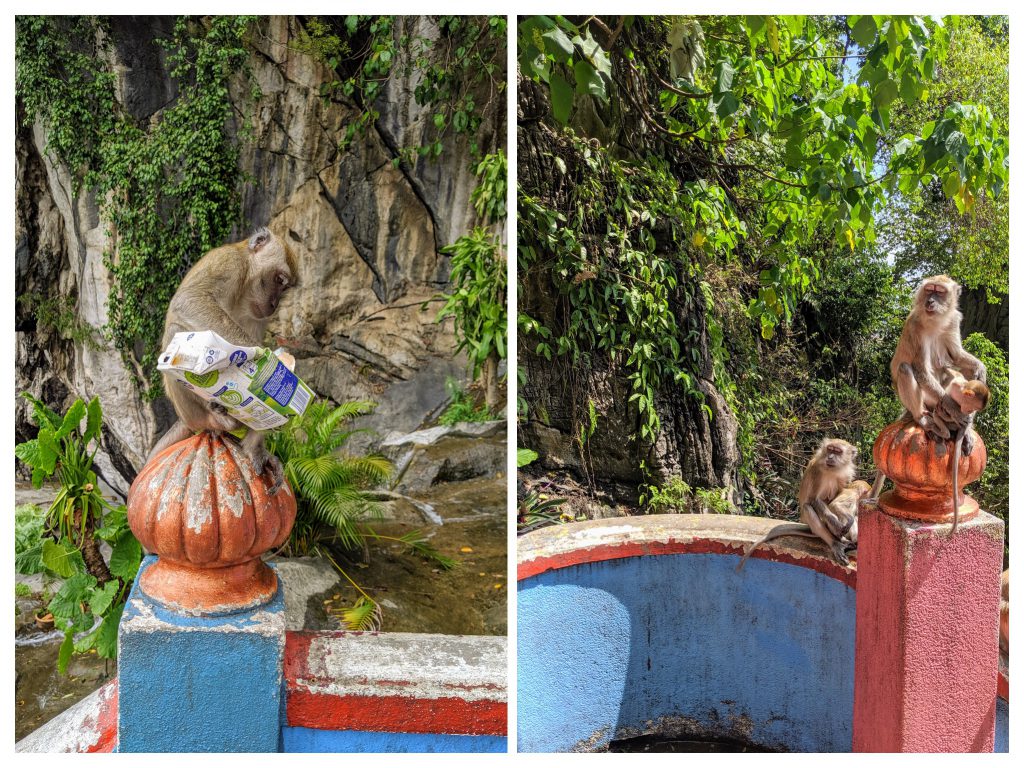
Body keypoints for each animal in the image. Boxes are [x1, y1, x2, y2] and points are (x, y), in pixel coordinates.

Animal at [148, 228, 299, 493]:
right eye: (279, 280)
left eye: (285, 287)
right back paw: (216, 418)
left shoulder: (259, 316)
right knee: (177, 328)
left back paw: (252, 447)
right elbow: (190, 300)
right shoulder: (230, 263)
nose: (274, 304)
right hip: (190, 411)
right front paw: (261, 354)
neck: (245, 285)